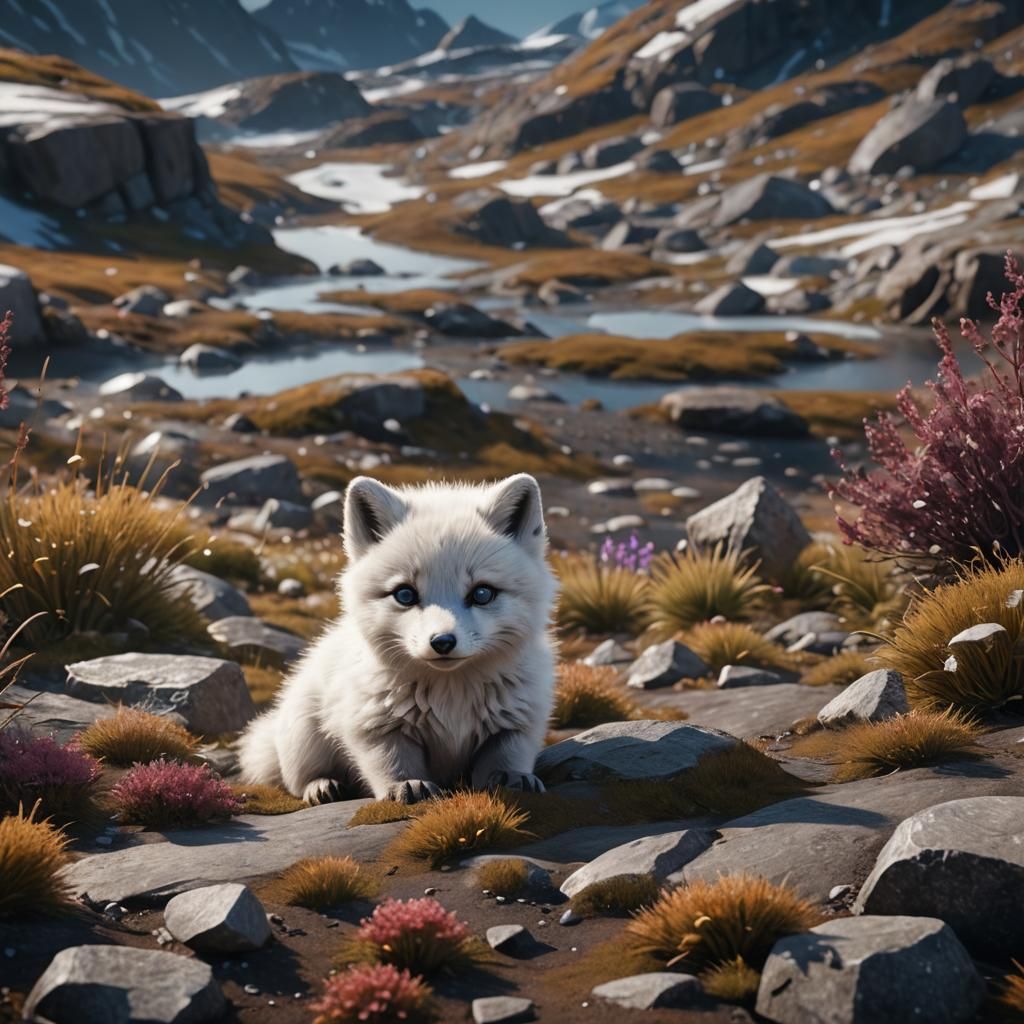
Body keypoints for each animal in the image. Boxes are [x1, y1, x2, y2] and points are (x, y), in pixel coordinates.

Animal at [237, 473, 558, 805]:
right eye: (405, 594)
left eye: (482, 593)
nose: (442, 642)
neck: (451, 692)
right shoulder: (376, 726)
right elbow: (393, 763)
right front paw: (407, 786)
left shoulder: (518, 723)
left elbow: (505, 757)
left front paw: (513, 779)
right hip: (304, 735)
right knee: (297, 779)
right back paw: (322, 786)